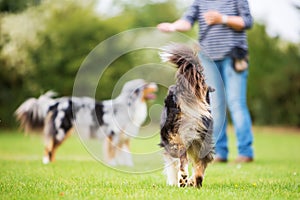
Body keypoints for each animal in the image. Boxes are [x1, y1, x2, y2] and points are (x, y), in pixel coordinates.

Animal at [14, 79, 157, 165]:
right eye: (146, 84)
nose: (156, 85)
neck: (129, 105)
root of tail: (56, 103)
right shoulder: (113, 135)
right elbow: (111, 152)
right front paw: (112, 164)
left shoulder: (124, 138)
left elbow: (125, 155)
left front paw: (127, 166)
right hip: (61, 130)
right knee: (49, 147)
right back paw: (47, 162)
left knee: (52, 148)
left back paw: (53, 162)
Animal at [159, 43, 213, 188]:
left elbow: (173, 163)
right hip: (202, 136)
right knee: (202, 162)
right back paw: (195, 180)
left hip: (176, 135)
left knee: (183, 157)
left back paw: (183, 179)